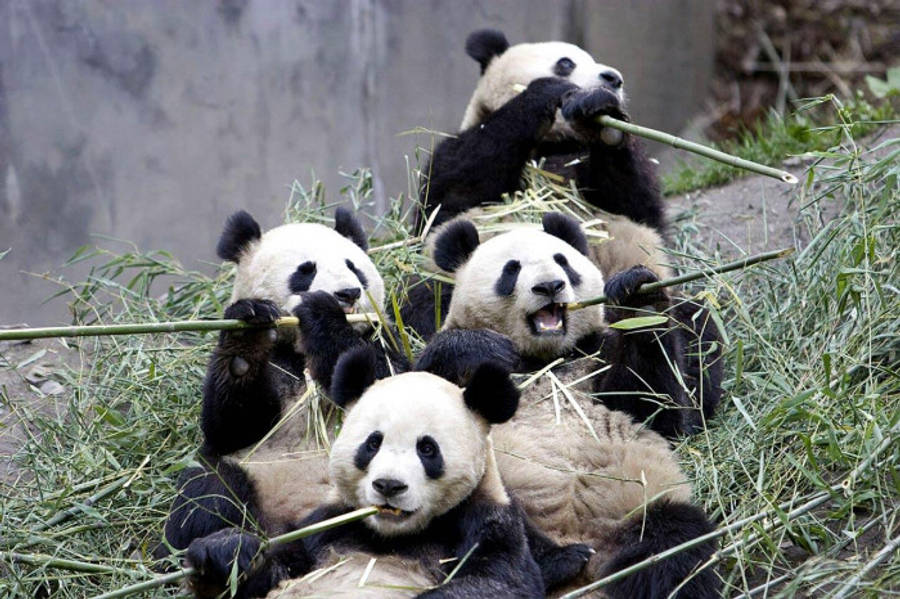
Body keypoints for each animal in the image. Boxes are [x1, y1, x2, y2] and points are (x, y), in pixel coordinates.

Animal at [156, 208, 410, 559]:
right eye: (305, 270)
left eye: (354, 268)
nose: (348, 293)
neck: (301, 351)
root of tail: (285, 524)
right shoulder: (277, 365)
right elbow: (232, 425)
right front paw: (246, 336)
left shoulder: (383, 336)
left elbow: (392, 384)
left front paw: (322, 313)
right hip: (248, 472)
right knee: (208, 490)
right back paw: (221, 547)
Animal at [181, 347, 589, 598]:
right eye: (373, 443)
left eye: (427, 449)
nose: (388, 485)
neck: (393, 534)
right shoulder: (327, 524)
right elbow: (274, 570)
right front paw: (225, 553)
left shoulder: (485, 519)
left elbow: (499, 581)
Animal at [412, 213, 722, 597]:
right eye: (511, 269)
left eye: (563, 261)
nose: (549, 286)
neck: (547, 360)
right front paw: (480, 348)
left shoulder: (594, 357)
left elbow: (652, 406)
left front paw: (639, 302)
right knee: (487, 515)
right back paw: (555, 561)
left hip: (636, 510)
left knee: (674, 544)